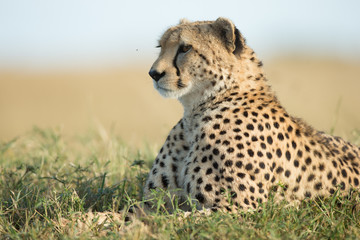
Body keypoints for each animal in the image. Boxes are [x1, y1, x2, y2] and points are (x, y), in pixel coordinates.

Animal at [144, 17, 360, 212]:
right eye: (160, 46)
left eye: (185, 48)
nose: (154, 73)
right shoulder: (152, 204)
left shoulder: (237, 208)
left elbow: (178, 220)